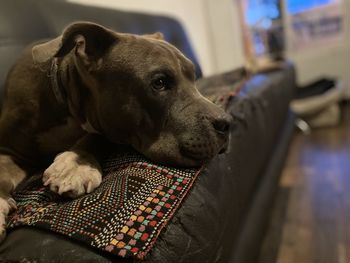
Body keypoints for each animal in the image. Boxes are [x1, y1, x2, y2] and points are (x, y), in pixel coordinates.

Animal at [0, 21, 232, 240]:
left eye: (194, 79)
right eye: (159, 82)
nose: (227, 122)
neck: (68, 102)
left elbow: (95, 136)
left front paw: (76, 164)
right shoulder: (11, 149)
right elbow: (3, 169)